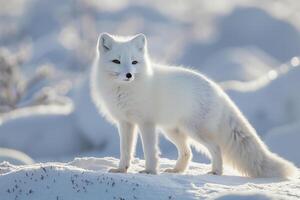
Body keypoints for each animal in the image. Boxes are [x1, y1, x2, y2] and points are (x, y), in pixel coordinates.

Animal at [91, 32, 296, 178]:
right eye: (116, 61)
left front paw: (150, 171)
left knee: (216, 147)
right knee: (187, 152)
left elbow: (150, 151)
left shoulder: (146, 123)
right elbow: (125, 150)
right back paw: (177, 171)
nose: (129, 75)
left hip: (194, 131)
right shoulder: (125, 123)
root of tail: (218, 90)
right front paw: (121, 170)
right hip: (173, 131)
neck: (124, 90)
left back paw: (216, 172)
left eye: (134, 62)